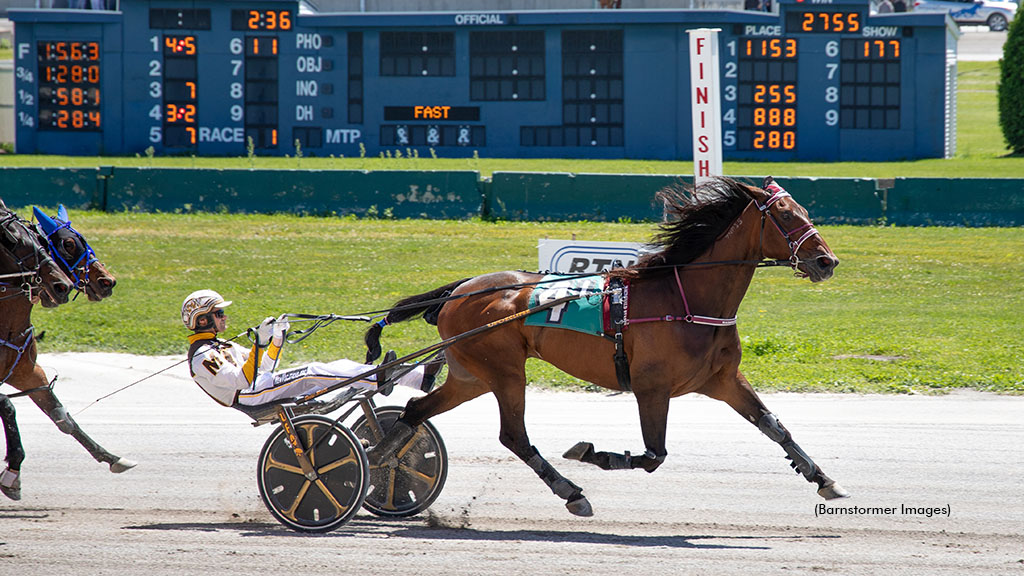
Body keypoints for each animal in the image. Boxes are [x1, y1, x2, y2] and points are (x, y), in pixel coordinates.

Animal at [0, 201, 134, 498]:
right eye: (69, 244)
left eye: (38, 241)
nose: (107, 281)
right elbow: (8, 405)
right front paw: (12, 471)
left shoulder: (27, 372)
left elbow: (62, 417)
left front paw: (111, 457)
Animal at [366, 177, 847, 512]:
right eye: (785, 214)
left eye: (803, 209)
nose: (827, 261)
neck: (686, 300)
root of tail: (461, 289)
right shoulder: (652, 388)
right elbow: (654, 455)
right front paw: (593, 453)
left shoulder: (723, 380)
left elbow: (775, 427)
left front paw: (823, 478)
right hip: (503, 371)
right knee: (514, 436)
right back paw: (571, 492)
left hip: (473, 374)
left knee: (417, 410)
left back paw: (382, 456)